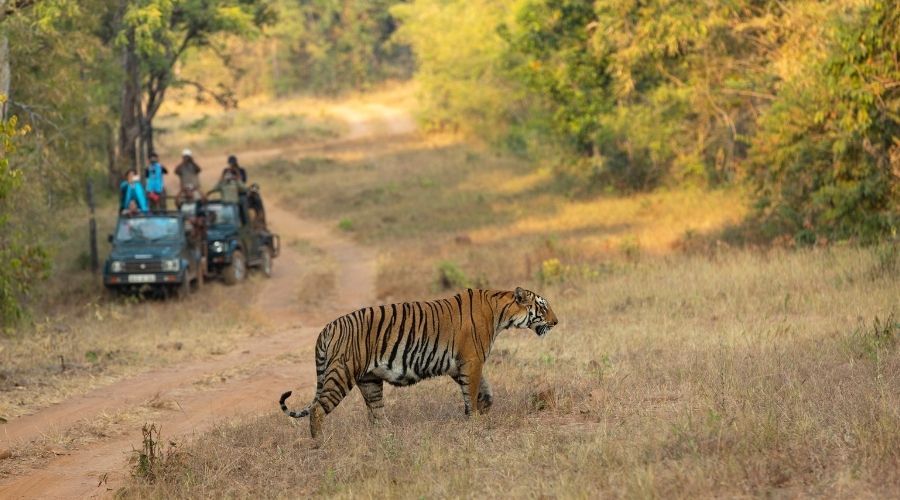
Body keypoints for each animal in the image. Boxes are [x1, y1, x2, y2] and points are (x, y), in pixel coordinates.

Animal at [279, 287, 558, 441]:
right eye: (543, 307)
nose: (556, 322)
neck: (501, 312)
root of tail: (327, 327)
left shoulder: (460, 365)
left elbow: (484, 390)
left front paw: (484, 408)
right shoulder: (472, 360)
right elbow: (472, 391)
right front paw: (475, 420)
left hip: (369, 381)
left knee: (376, 414)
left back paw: (388, 435)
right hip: (342, 373)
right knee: (317, 409)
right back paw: (319, 443)